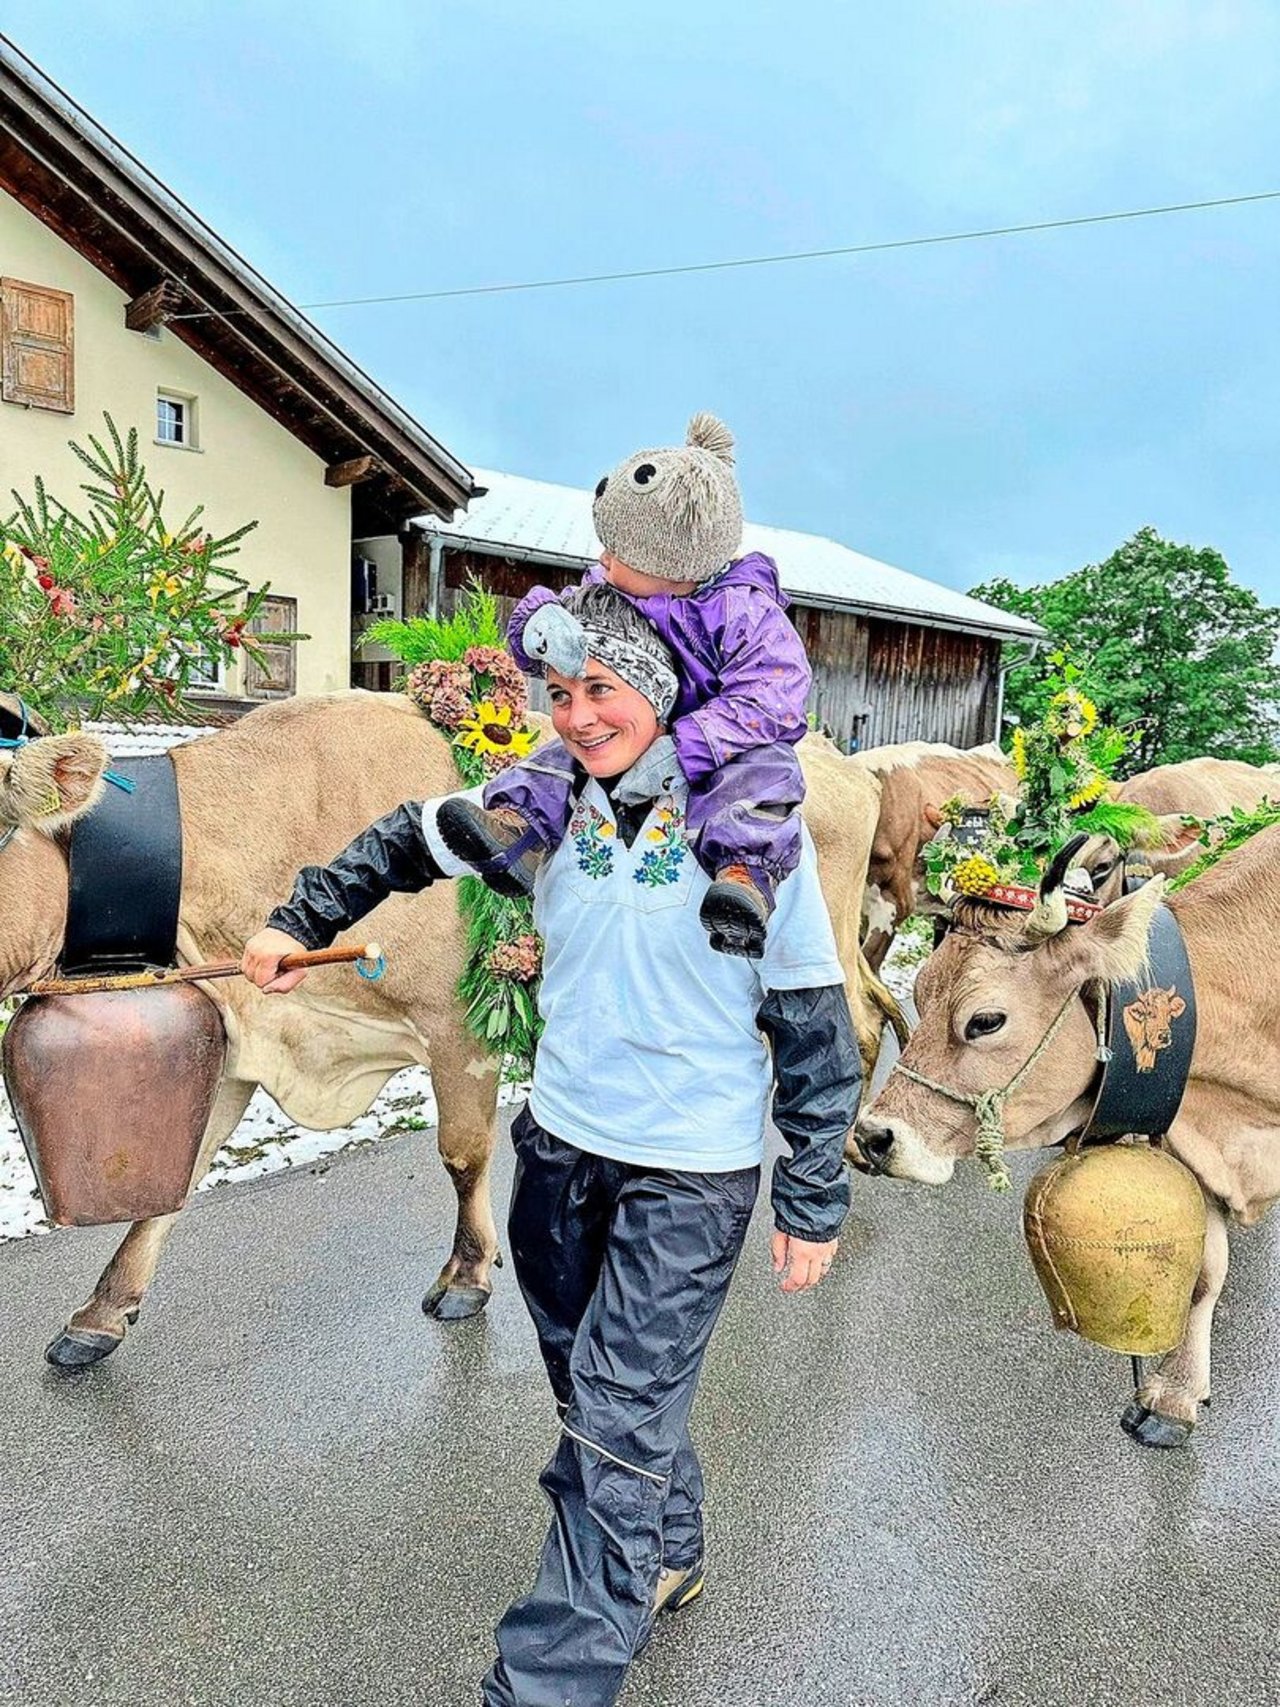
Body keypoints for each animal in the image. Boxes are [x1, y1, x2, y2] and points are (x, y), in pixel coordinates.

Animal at [0, 686, 901, 1365]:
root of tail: (842, 762)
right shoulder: (243, 1040)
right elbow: (176, 1181)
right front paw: (101, 1313)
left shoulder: (455, 1027)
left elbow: (462, 1154)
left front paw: (468, 1274)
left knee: (852, 1026)